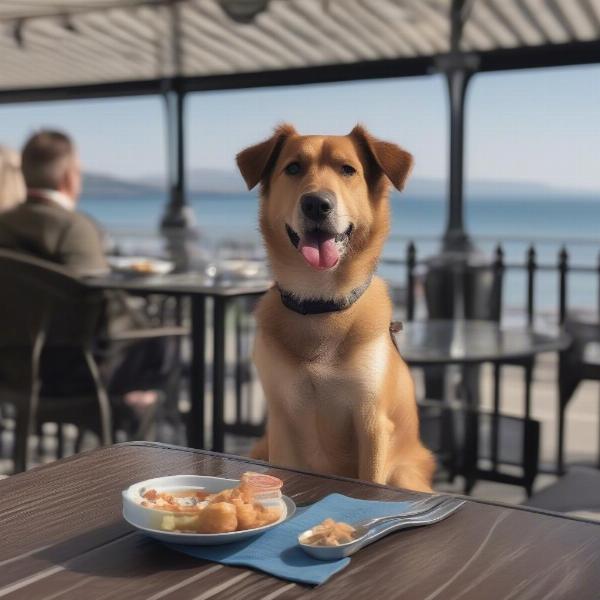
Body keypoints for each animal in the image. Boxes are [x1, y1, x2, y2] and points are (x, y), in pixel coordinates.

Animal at [236, 123, 436, 492]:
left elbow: (371, 478)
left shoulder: (372, 422)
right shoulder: (282, 420)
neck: (321, 304)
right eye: (293, 168)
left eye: (348, 169)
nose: (317, 203)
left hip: (404, 472)